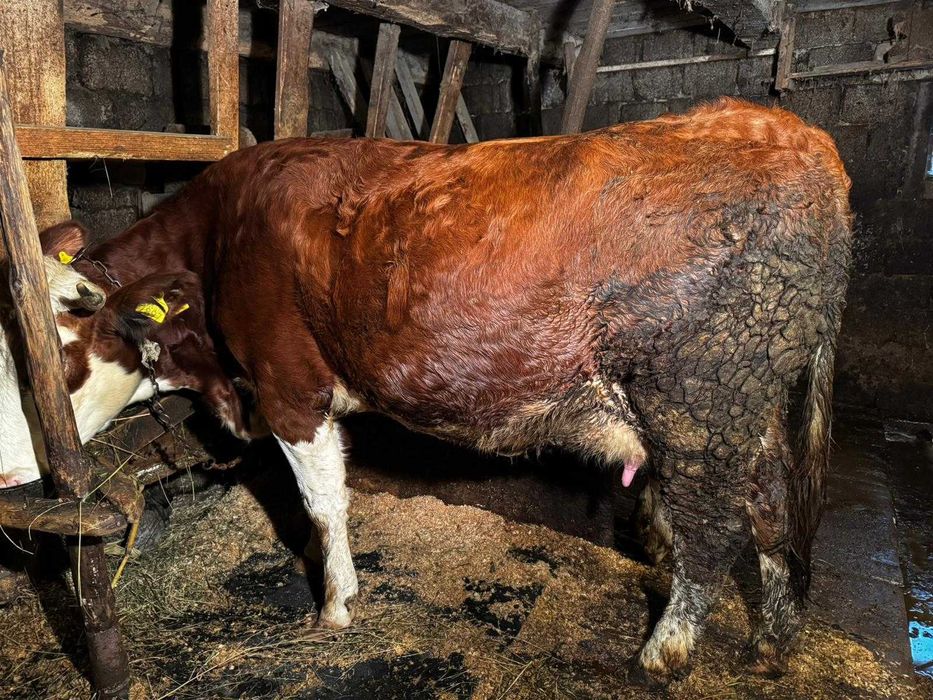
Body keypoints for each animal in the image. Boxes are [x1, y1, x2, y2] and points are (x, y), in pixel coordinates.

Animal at [37, 99, 851, 681]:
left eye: (60, 345)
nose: (24, 472)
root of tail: (801, 138)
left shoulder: (288, 386)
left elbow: (324, 504)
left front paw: (334, 605)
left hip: (700, 398)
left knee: (714, 530)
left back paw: (662, 655)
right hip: (750, 402)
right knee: (773, 509)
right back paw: (773, 644)